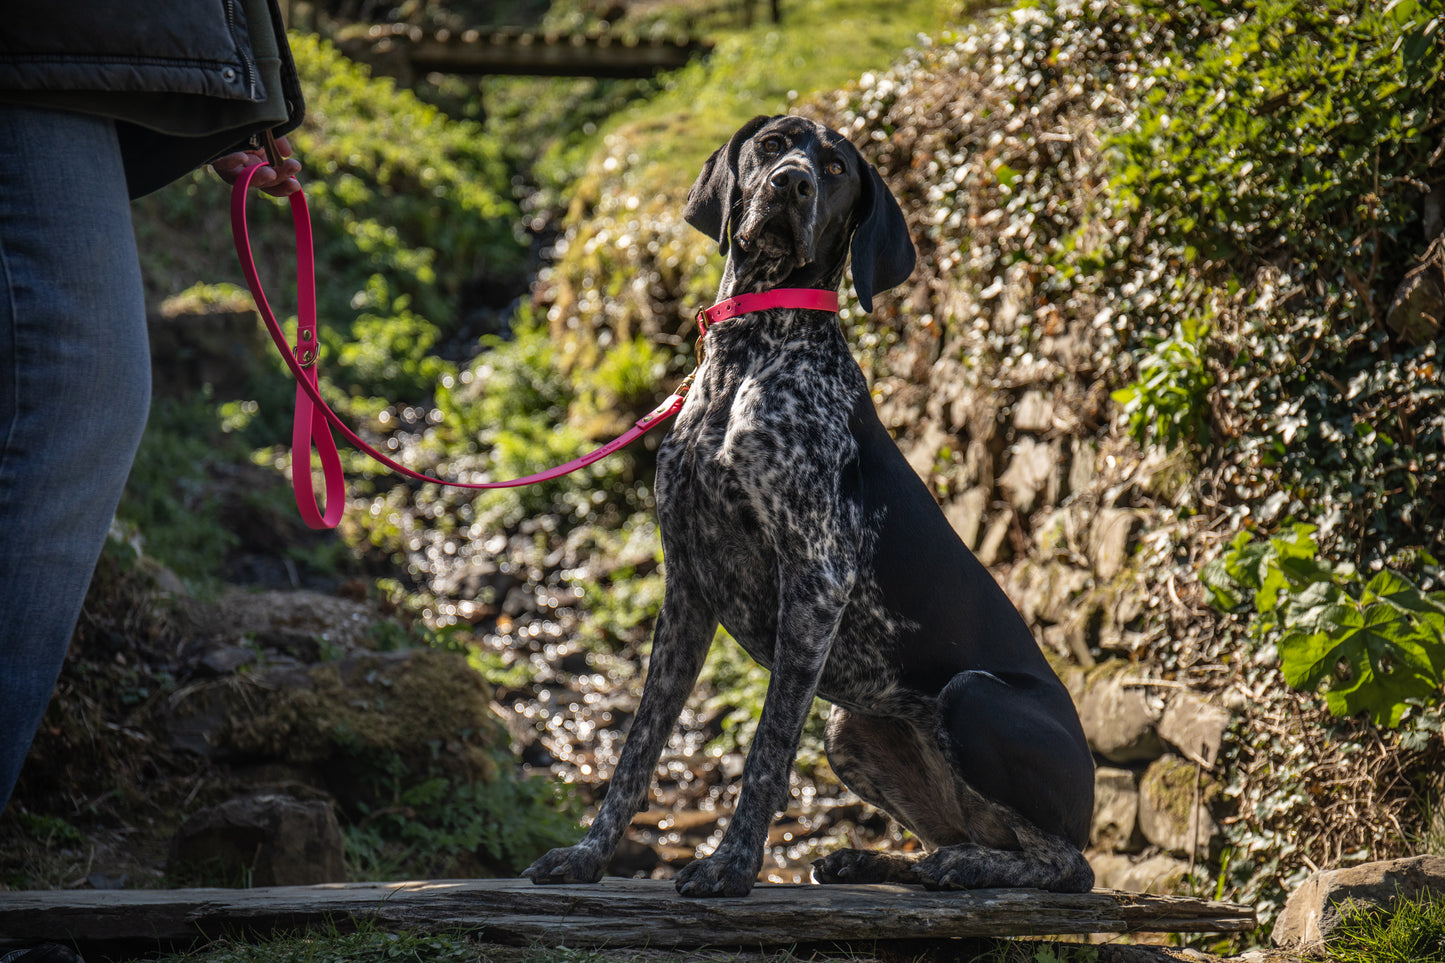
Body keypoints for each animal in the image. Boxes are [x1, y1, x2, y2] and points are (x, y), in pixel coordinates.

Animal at [523, 116, 1092, 896]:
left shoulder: (815, 584)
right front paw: (587, 853)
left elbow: (766, 752)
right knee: (972, 834)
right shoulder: (686, 591)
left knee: (1063, 862)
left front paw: (731, 865)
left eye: (835, 167)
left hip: (970, 697)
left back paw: (965, 866)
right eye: (772, 144)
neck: (748, 354)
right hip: (849, 728)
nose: (789, 183)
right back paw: (885, 859)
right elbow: (638, 746)